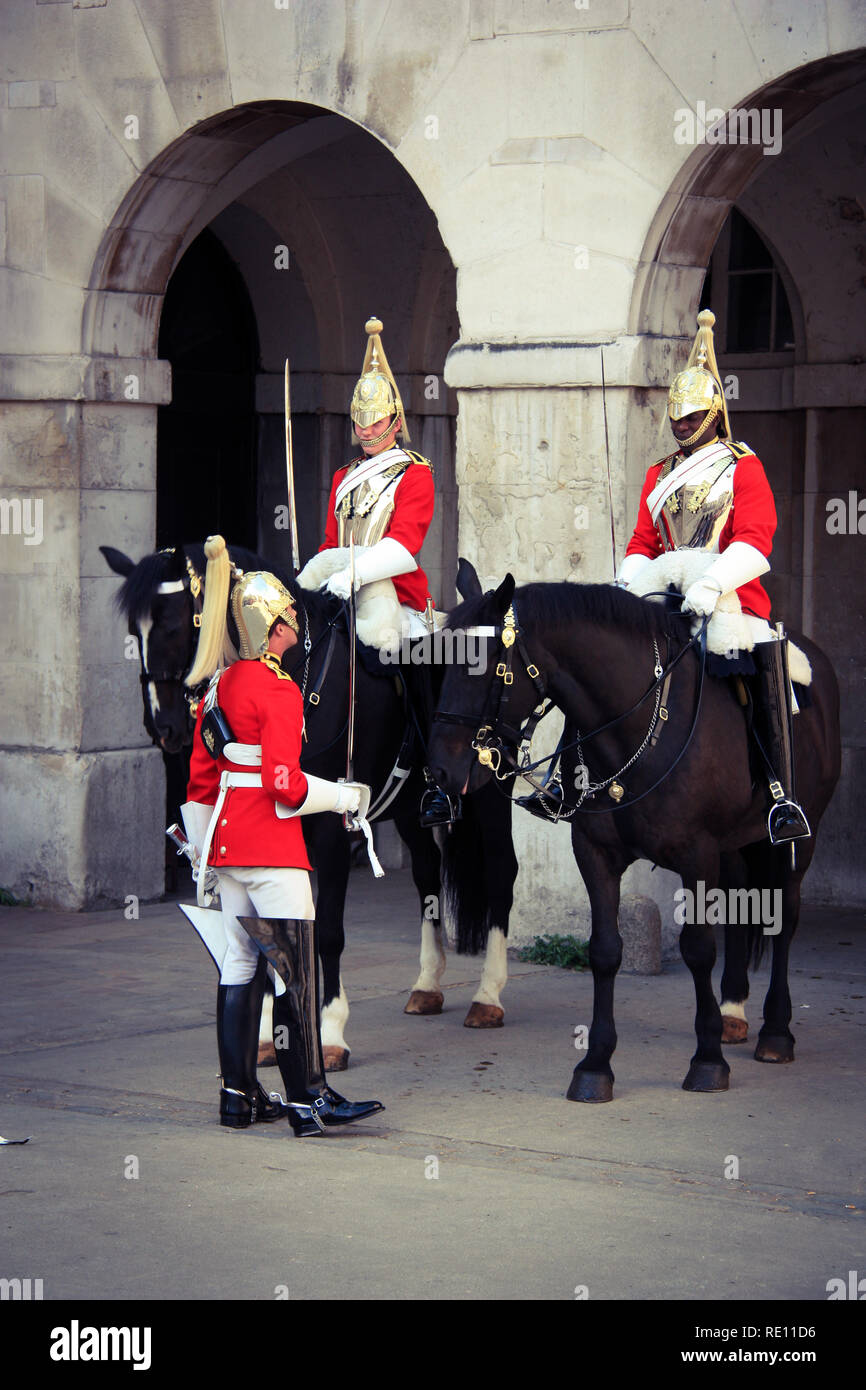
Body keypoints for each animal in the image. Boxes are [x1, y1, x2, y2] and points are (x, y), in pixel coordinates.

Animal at [103, 539, 522, 1061]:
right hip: (409, 809)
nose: (163, 728)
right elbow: (264, 926)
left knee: (501, 871)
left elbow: (327, 931)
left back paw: (489, 995)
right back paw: (427, 984)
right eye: (131, 632)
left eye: (174, 626)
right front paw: (266, 1032)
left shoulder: (329, 829)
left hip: (489, 796)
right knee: (426, 873)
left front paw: (331, 1033)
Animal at [430, 558, 845, 1100]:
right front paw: (595, 1064)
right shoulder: (595, 854)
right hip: (735, 844)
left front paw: (706, 1059)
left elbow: (697, 949)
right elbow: (605, 950)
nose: (441, 772)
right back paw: (734, 1013)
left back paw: (775, 1031)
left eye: (480, 666)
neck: (635, 724)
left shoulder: (696, 854)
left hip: (799, 837)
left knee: (785, 918)